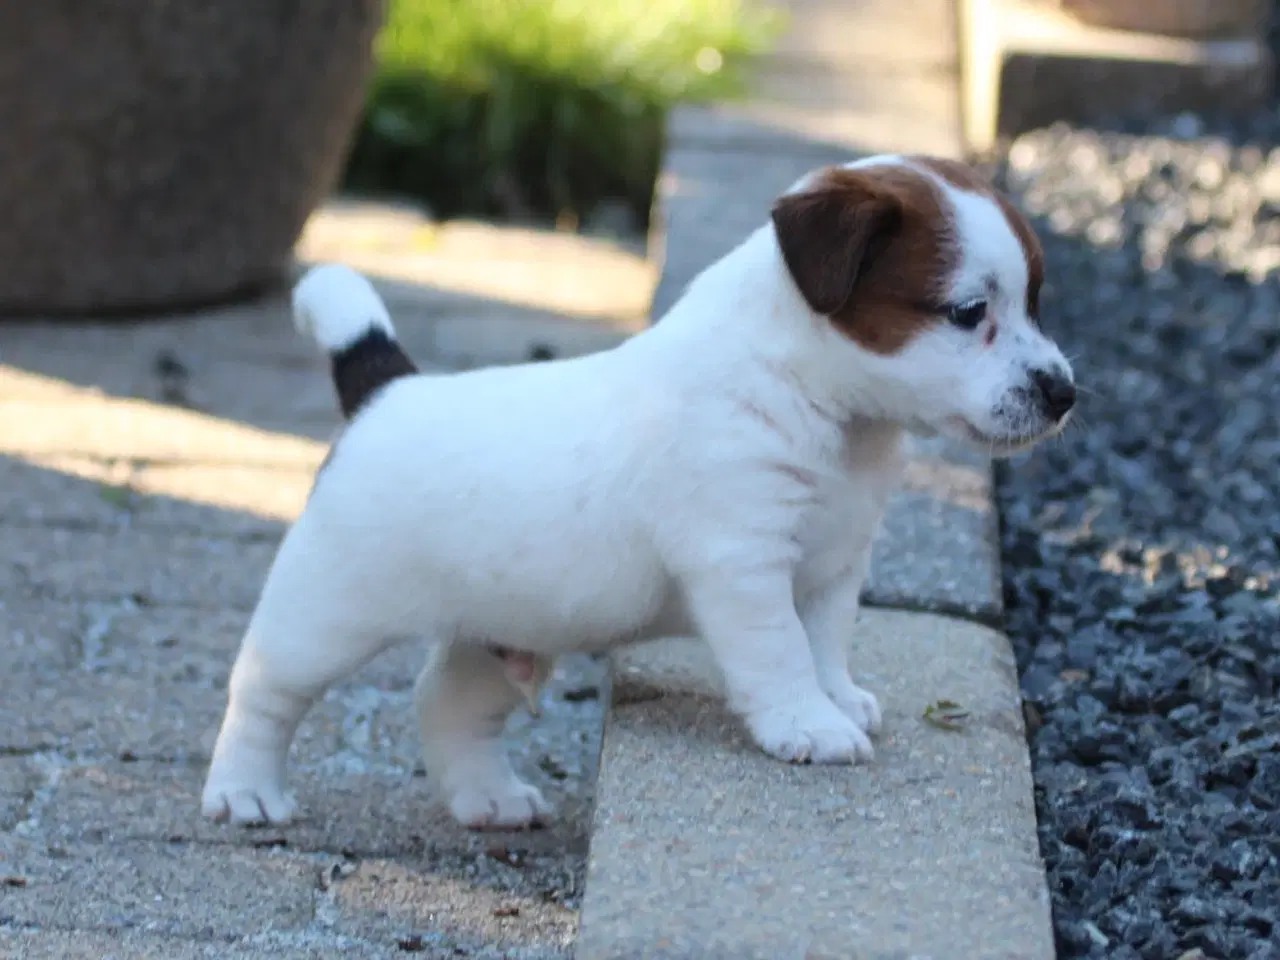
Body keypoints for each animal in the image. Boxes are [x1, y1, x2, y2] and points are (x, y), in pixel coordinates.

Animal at [204, 154, 1075, 829]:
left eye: (1037, 301)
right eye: (968, 312)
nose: (1063, 393)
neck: (819, 403)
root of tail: (386, 393)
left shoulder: (834, 568)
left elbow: (825, 642)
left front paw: (837, 697)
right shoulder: (744, 566)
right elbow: (783, 652)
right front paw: (808, 724)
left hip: (499, 628)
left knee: (445, 703)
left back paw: (490, 800)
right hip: (323, 615)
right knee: (263, 691)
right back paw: (246, 792)